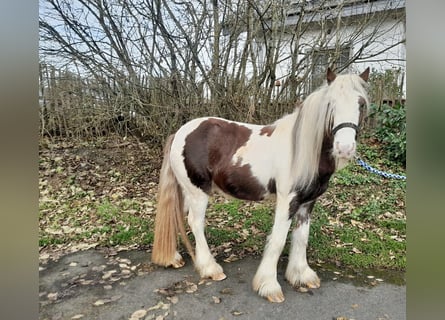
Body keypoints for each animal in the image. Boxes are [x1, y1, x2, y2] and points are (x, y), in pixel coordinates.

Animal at [151, 67, 370, 302]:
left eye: (361, 104)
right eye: (330, 104)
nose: (345, 148)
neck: (302, 150)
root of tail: (179, 133)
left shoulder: (308, 202)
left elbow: (302, 237)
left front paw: (301, 275)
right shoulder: (288, 200)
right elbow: (278, 240)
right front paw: (269, 286)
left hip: (187, 192)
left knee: (177, 215)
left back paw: (173, 258)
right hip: (198, 192)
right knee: (195, 222)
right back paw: (210, 268)